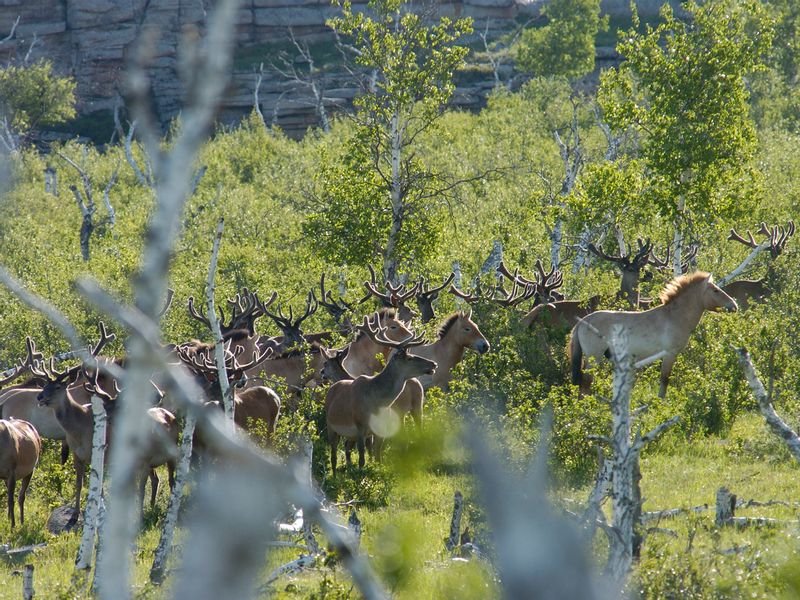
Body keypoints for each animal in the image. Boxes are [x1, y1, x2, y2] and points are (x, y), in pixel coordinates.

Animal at [326, 316, 438, 476]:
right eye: (409, 358)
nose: (433, 364)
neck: (377, 402)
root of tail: (332, 388)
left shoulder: (379, 430)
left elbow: (377, 455)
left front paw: (377, 472)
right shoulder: (360, 426)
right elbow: (362, 458)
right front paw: (362, 477)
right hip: (331, 426)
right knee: (333, 455)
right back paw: (335, 477)